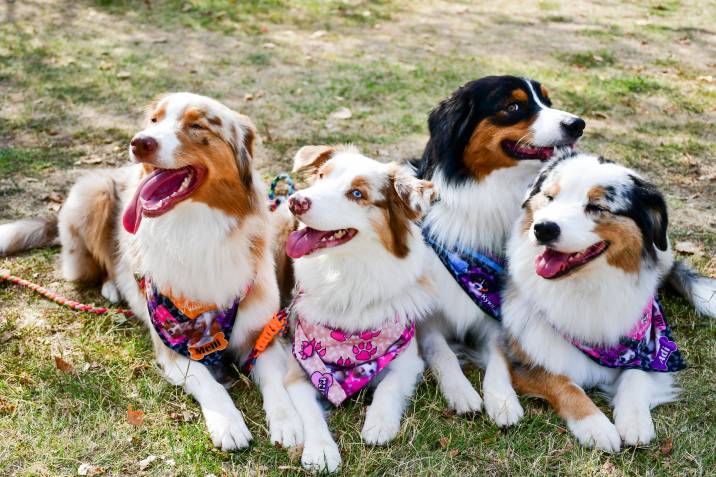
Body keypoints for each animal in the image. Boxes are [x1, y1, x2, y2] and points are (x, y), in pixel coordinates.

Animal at [0, 92, 302, 450]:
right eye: (154, 120)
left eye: (197, 125)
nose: (139, 142)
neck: (195, 229)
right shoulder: (173, 347)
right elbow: (209, 383)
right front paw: (228, 423)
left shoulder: (261, 334)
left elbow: (275, 382)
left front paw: (287, 421)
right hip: (94, 191)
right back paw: (112, 287)